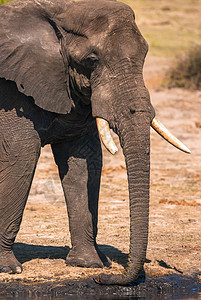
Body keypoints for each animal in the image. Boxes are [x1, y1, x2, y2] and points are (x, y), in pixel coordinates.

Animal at [0, 0, 190, 284]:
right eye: (91, 60)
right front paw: (8, 269)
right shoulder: (12, 92)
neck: (58, 10)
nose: (106, 278)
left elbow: (84, 161)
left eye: (145, 54)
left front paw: (88, 265)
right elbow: (21, 156)